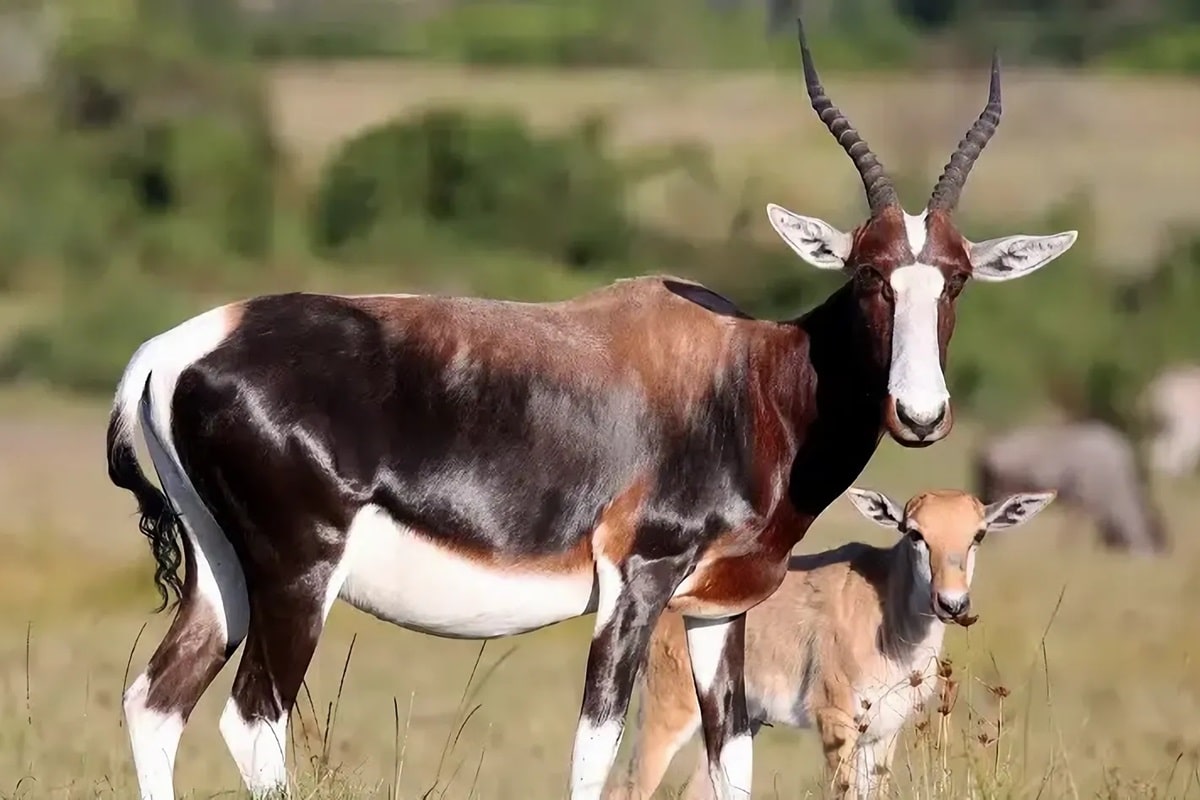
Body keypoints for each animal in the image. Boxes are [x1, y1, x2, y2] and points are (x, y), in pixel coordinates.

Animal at [614, 489, 1056, 800]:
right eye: (915, 533)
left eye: (977, 534)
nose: (952, 603)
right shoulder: (835, 721)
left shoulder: (882, 733)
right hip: (669, 710)